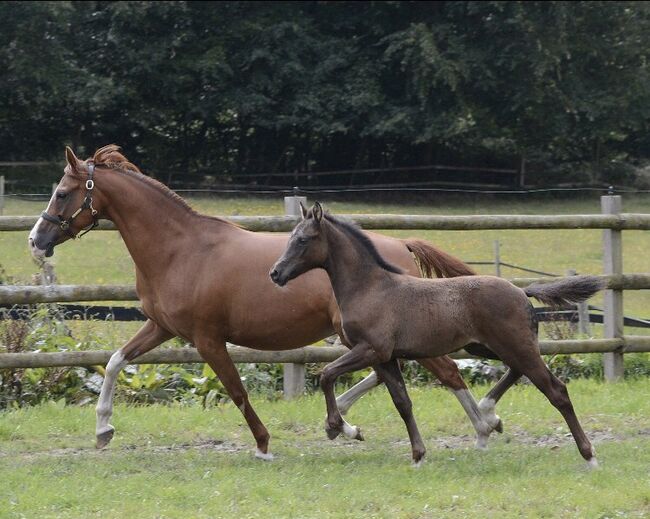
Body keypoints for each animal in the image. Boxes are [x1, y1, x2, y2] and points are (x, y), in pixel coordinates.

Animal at [29, 145, 496, 460]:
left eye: (62, 193)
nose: (36, 239)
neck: (180, 249)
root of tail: (400, 245)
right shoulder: (161, 327)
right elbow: (114, 362)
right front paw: (103, 429)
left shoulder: (207, 339)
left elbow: (236, 391)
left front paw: (263, 444)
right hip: (361, 336)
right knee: (388, 374)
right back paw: (349, 423)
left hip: (374, 334)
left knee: (447, 370)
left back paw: (484, 425)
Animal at [268, 203, 604, 468]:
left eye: (302, 239)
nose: (275, 273)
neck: (370, 288)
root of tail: (522, 291)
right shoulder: (386, 358)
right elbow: (402, 402)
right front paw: (417, 455)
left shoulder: (371, 350)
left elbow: (326, 374)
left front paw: (336, 426)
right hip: (487, 347)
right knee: (517, 370)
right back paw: (488, 412)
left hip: (514, 346)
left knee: (556, 390)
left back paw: (589, 456)